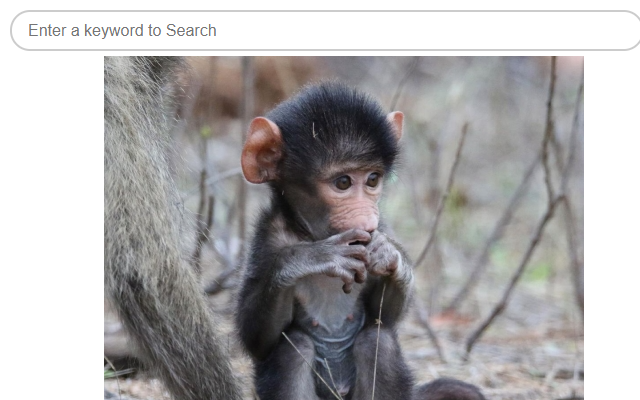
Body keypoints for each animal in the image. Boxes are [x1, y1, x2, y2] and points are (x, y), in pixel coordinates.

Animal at [236, 82, 485, 400]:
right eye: (343, 182)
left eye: (372, 179)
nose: (367, 221)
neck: (316, 234)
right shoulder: (269, 238)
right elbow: (257, 339)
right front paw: (309, 258)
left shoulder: (380, 227)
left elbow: (385, 317)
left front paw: (390, 254)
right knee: (291, 349)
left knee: (377, 340)